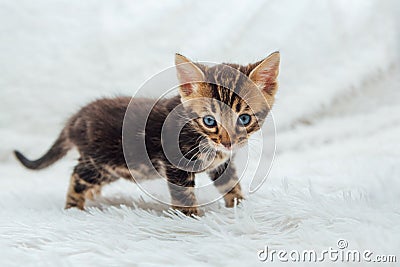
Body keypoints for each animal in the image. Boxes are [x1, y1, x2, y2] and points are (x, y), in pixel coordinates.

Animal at [14, 51, 280, 216]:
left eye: (244, 118)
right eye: (209, 121)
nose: (228, 142)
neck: (205, 140)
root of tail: (76, 119)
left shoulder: (222, 163)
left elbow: (230, 183)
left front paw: (239, 206)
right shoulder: (175, 164)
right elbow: (184, 195)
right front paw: (191, 218)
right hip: (99, 163)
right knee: (77, 176)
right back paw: (74, 207)